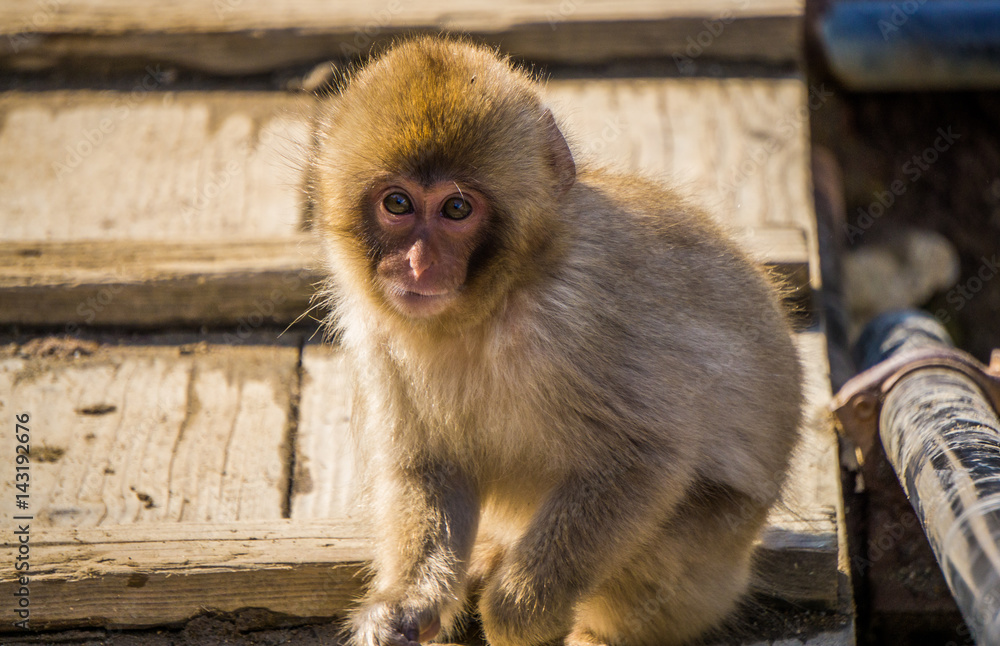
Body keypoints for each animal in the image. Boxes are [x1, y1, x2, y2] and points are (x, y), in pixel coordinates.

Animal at [310, 36, 803, 646]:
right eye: (397, 203)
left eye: (456, 208)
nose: (419, 265)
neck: (487, 306)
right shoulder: (377, 334)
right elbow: (428, 466)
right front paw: (406, 605)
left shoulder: (575, 321)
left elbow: (643, 457)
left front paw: (519, 610)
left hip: (714, 553)